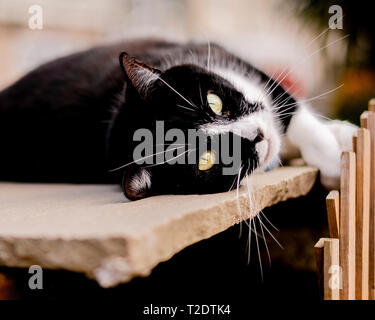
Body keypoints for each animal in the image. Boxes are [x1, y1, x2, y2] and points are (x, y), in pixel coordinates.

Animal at [0, 38, 356, 200]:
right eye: (207, 160)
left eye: (214, 102)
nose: (257, 136)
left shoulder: (222, 57)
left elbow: (289, 109)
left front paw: (334, 152)